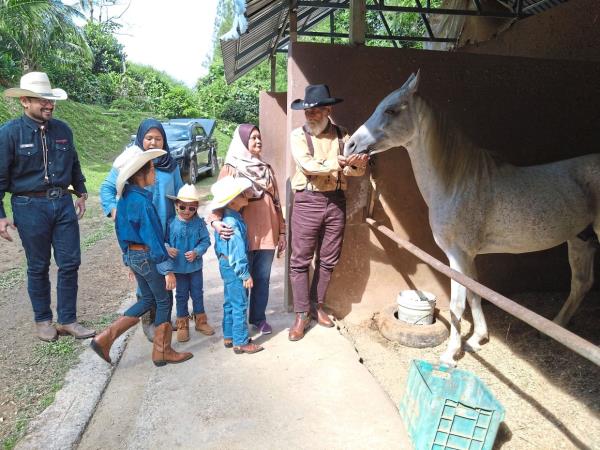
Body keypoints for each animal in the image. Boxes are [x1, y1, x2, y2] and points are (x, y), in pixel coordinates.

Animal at [344, 71, 600, 366]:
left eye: (391, 110)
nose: (350, 144)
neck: (457, 183)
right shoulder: (467, 256)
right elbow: (476, 293)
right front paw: (478, 339)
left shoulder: (458, 255)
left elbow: (458, 302)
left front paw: (450, 354)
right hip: (580, 239)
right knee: (581, 284)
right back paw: (554, 327)